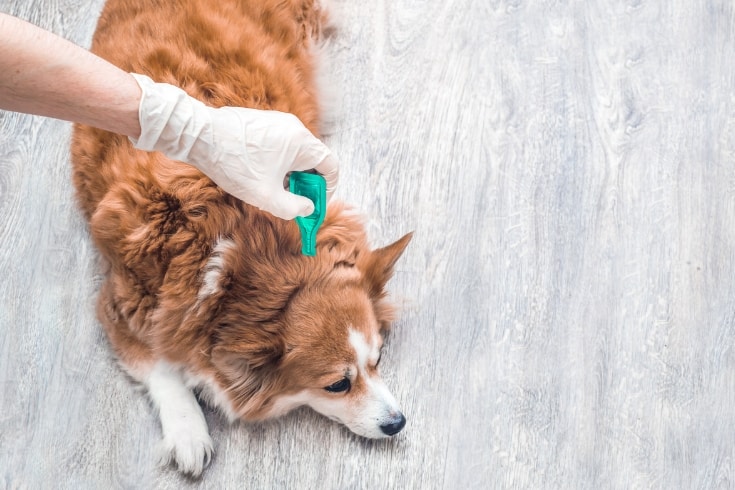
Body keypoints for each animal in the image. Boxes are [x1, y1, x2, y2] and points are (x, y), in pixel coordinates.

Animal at [71, 0, 412, 474]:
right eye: (338, 385)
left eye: (377, 361)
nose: (398, 423)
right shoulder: (120, 304)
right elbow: (160, 366)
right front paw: (188, 433)